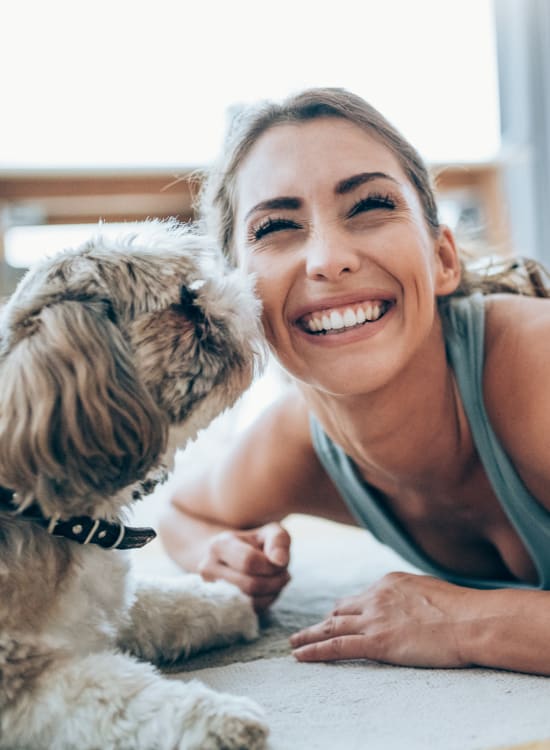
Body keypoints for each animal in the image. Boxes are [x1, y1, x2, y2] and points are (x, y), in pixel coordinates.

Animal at [0, 222, 270, 750]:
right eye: (184, 302)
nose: (243, 292)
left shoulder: (110, 601)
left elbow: (161, 602)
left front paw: (228, 602)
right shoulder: (17, 678)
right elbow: (114, 695)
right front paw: (221, 719)